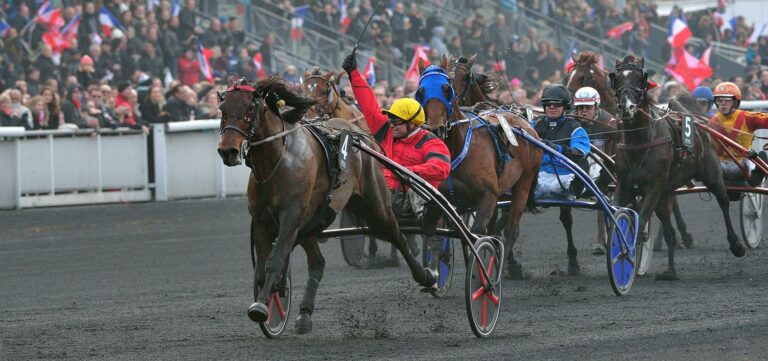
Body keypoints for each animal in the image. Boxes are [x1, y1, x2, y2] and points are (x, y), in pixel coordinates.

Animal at [219, 74, 436, 334]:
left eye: (250, 108)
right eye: (222, 108)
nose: (228, 151)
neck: (279, 160)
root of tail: (363, 138)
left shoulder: (290, 217)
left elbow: (274, 261)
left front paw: (261, 307)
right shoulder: (263, 222)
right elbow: (263, 268)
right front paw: (271, 302)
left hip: (374, 205)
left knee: (396, 233)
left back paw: (425, 275)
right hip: (312, 221)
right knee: (318, 262)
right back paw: (304, 314)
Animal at [416, 57, 544, 278]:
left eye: (446, 89)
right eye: (421, 91)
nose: (435, 128)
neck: (457, 148)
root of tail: (525, 124)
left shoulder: (488, 196)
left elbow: (477, 235)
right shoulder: (440, 198)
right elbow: (435, 233)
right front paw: (435, 271)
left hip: (523, 183)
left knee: (511, 230)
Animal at [612, 54, 744, 280]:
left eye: (640, 78)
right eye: (618, 78)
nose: (626, 107)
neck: (640, 142)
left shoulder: (654, 186)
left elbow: (640, 223)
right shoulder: (625, 186)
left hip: (711, 174)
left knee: (723, 200)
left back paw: (736, 244)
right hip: (664, 195)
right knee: (670, 231)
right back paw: (670, 271)